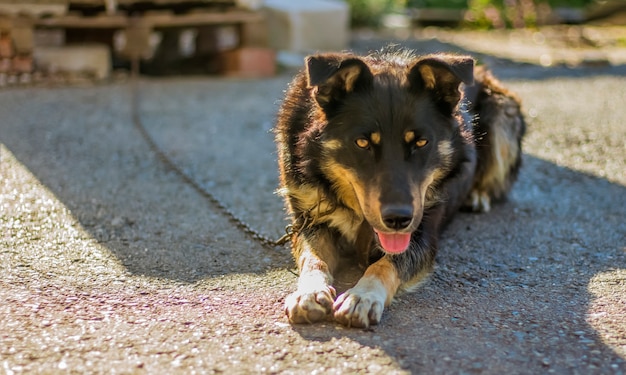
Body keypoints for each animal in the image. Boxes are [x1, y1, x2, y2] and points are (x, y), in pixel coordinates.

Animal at [276, 48, 524, 328]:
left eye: (421, 142)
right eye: (362, 143)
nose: (398, 219)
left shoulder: (422, 232)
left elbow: (385, 264)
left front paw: (362, 296)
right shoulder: (309, 220)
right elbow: (313, 258)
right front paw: (309, 291)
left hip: (502, 115)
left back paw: (478, 195)